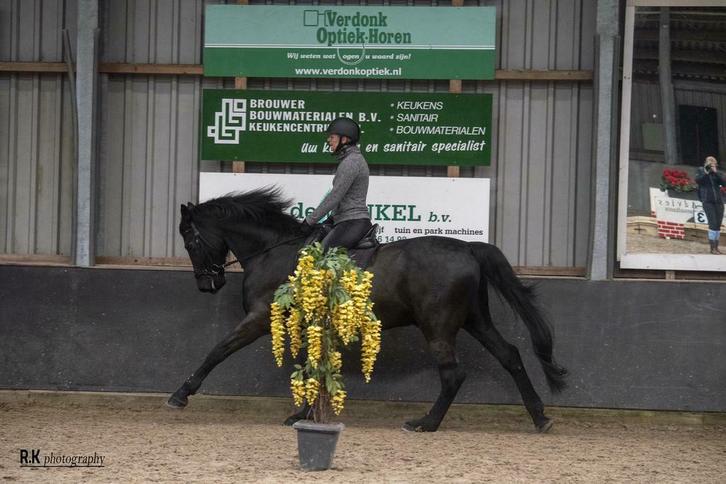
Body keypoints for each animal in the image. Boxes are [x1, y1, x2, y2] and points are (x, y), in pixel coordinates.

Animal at [167, 188, 567, 432]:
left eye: (189, 239)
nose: (207, 284)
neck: (273, 251)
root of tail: (469, 247)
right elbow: (309, 365)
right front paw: (302, 414)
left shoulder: (261, 318)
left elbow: (218, 350)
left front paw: (180, 395)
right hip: (474, 319)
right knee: (510, 356)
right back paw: (539, 417)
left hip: (438, 326)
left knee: (454, 374)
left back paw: (425, 423)